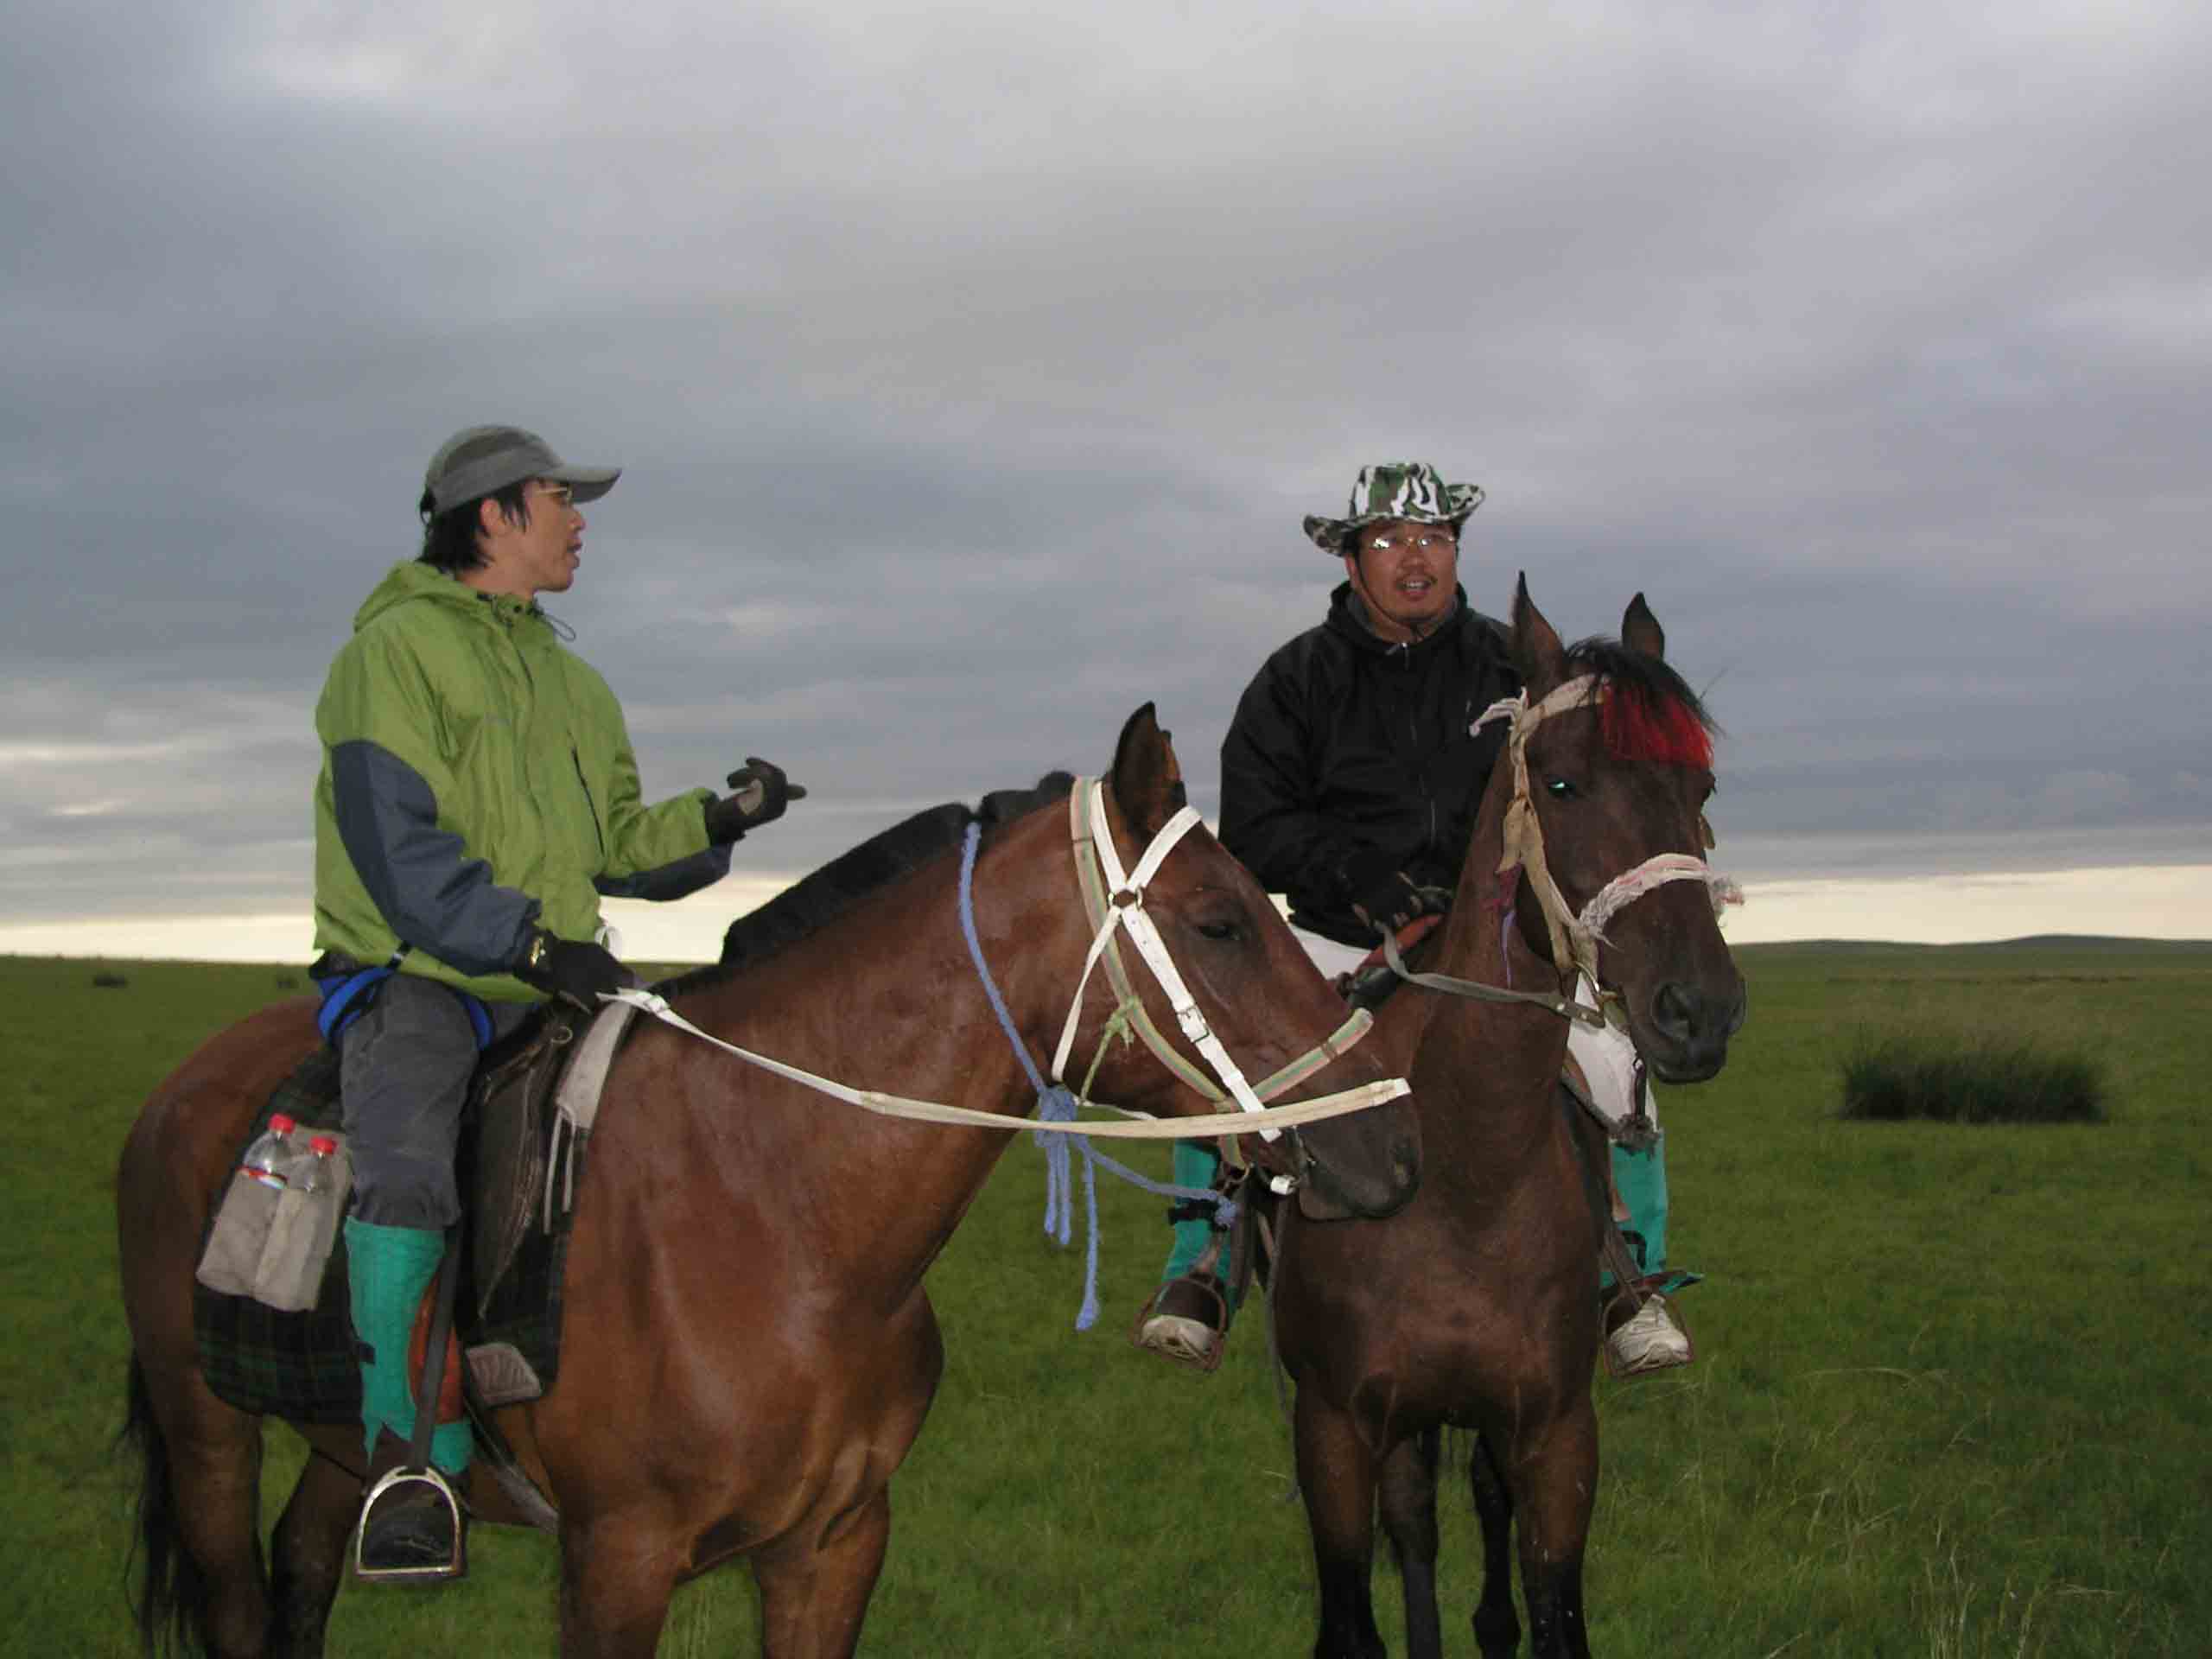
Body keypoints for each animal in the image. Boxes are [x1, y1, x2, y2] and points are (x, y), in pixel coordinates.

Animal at [121, 708, 1424, 1654]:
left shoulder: (833, 1544)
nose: (1391, 1147)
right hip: (206, 1431)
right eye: (1219, 922)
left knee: (302, 1571)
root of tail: (186, 1084)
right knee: (240, 1596)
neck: (778, 1216)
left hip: (335, 1445)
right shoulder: (616, 1564)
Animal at [1274, 588, 1751, 1659]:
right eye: (1564, 784)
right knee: (1413, 1521)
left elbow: (1553, 1614)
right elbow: (1351, 1615)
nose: (1697, 1010)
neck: (1465, 1174)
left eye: (1698, 784)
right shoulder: (1332, 1431)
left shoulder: (1554, 1432)